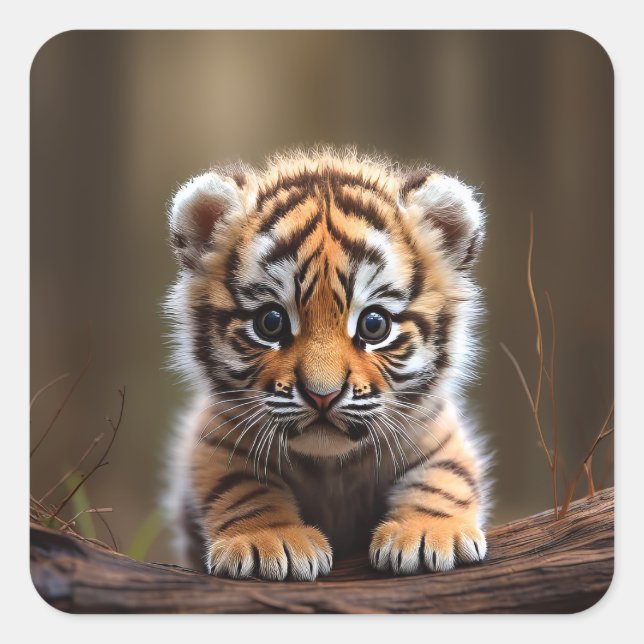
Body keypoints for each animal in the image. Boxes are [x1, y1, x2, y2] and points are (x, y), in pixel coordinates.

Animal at [164, 148, 491, 581]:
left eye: (374, 325)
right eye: (271, 322)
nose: (323, 395)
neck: (331, 467)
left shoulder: (436, 430)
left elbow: (445, 475)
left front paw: (427, 533)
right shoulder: (215, 436)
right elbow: (240, 484)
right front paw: (270, 540)